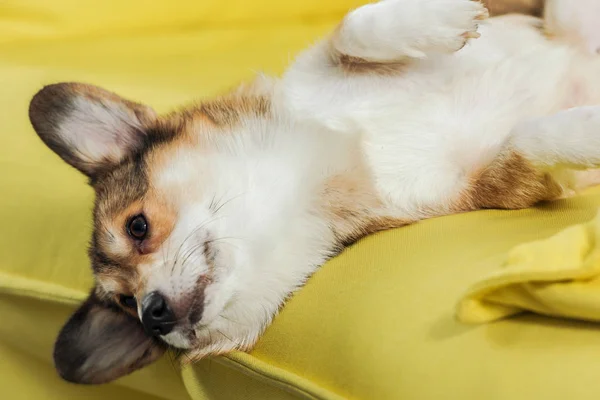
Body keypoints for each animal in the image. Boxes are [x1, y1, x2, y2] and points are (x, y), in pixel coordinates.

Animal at [30, 0, 600, 384]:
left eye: (138, 226)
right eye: (127, 306)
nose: (154, 314)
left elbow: (353, 26)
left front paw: (437, 18)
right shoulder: (500, 183)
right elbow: (528, 139)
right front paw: (586, 129)